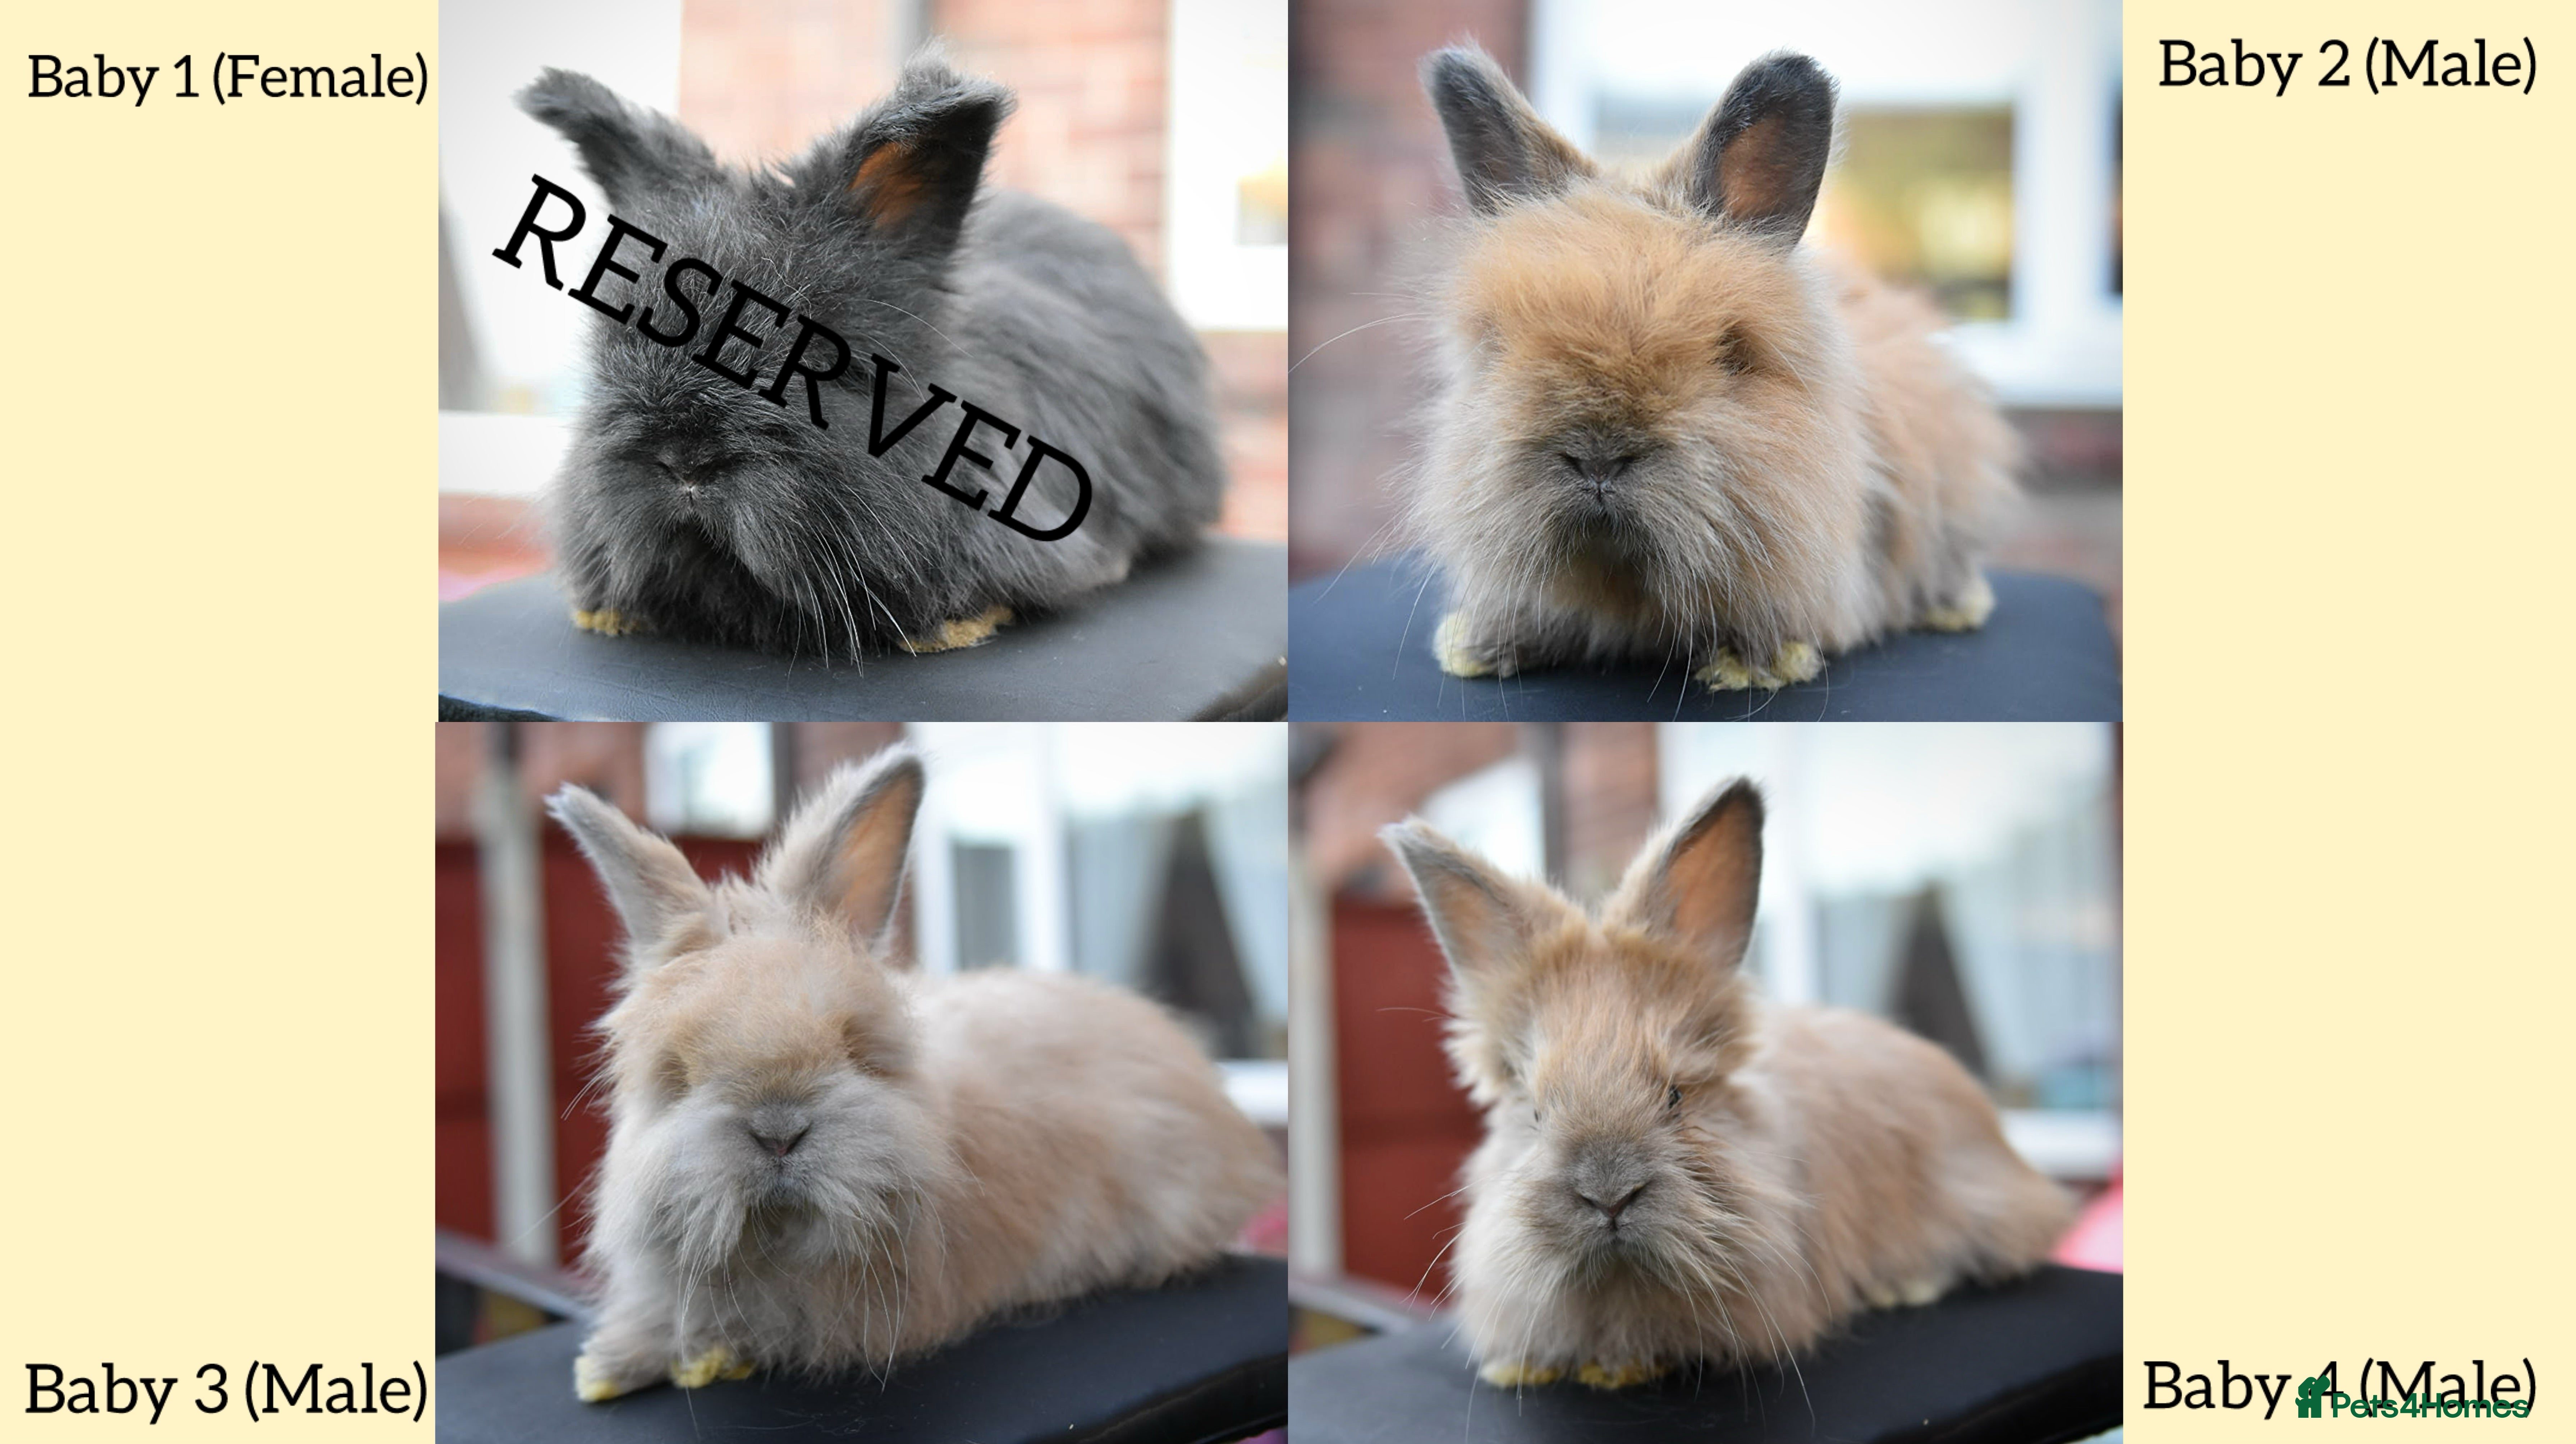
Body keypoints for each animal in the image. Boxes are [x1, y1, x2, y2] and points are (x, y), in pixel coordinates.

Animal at [1405, 46, 2018, 692]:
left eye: (1730, 353)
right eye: (1497, 344)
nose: (1597, 459)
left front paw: (1752, 664)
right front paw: (1478, 646)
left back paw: (1955, 608)